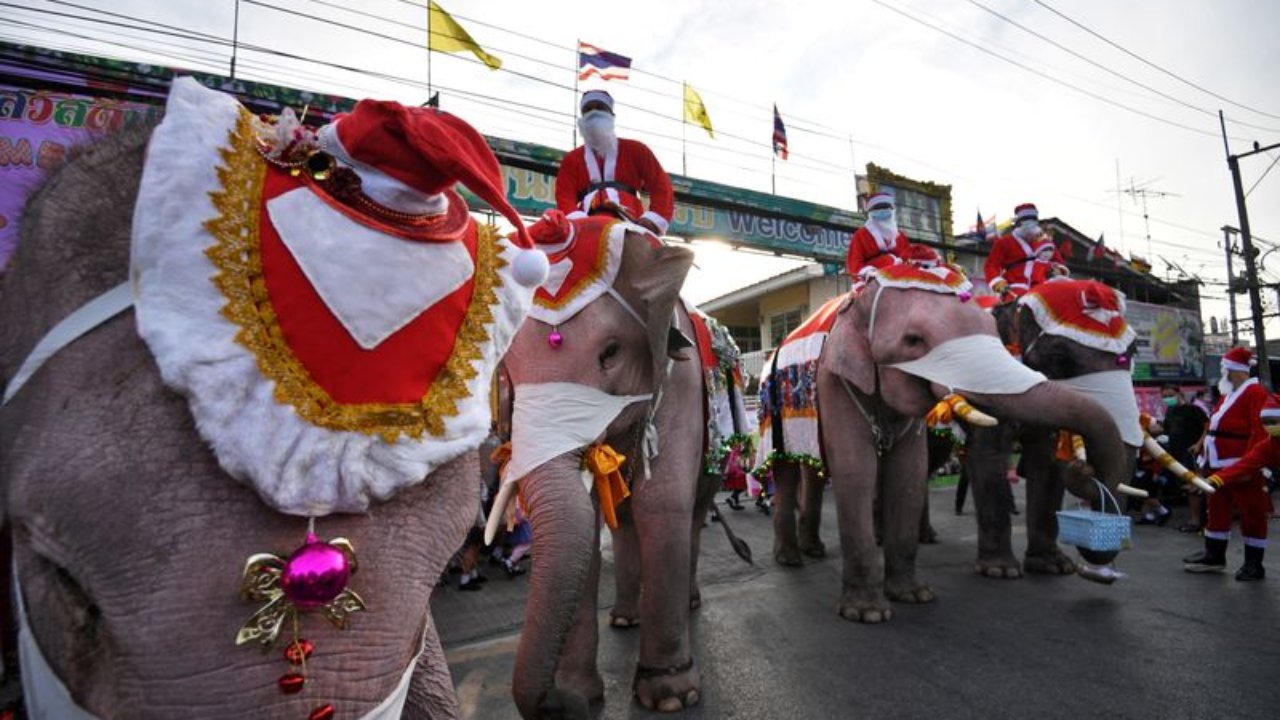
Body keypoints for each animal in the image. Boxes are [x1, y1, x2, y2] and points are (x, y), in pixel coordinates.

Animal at [486, 210, 747, 712]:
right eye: (505, 367)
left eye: (611, 352)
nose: (555, 705)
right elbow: (586, 523)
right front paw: (579, 692)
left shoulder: (679, 381)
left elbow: (661, 506)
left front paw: (671, 696)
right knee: (624, 524)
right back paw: (625, 618)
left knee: (690, 513)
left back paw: (688, 603)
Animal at [962, 280, 1146, 576]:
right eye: (1059, 358)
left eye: (1133, 353)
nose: (1083, 467)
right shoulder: (986, 377)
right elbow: (987, 452)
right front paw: (1000, 571)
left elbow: (1047, 461)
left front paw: (1054, 566)